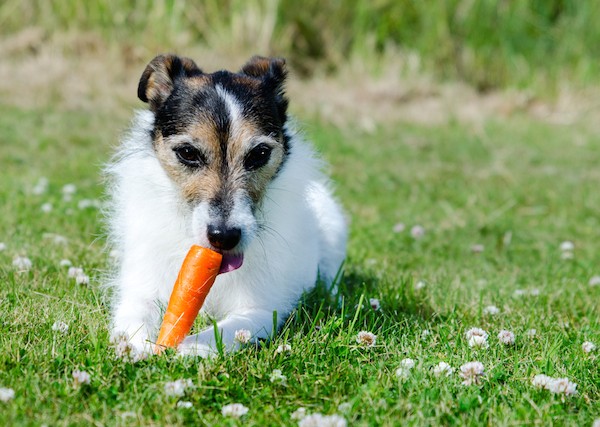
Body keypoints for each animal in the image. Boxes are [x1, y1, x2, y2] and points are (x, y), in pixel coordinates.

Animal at [105, 54, 346, 358]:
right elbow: (135, 316)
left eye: (259, 153)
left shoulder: (260, 309)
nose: (224, 236)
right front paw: (137, 346)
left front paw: (187, 349)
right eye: (187, 152)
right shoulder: (141, 288)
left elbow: (221, 332)